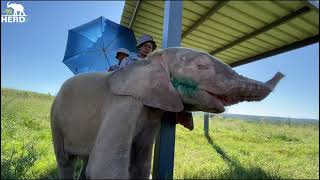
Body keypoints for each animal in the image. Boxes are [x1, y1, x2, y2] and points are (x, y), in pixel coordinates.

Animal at [50, 47, 284, 179]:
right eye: (201, 66)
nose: (282, 72)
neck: (149, 60)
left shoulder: (153, 114)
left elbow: (141, 165)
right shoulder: (123, 104)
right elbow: (105, 168)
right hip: (56, 118)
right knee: (66, 161)